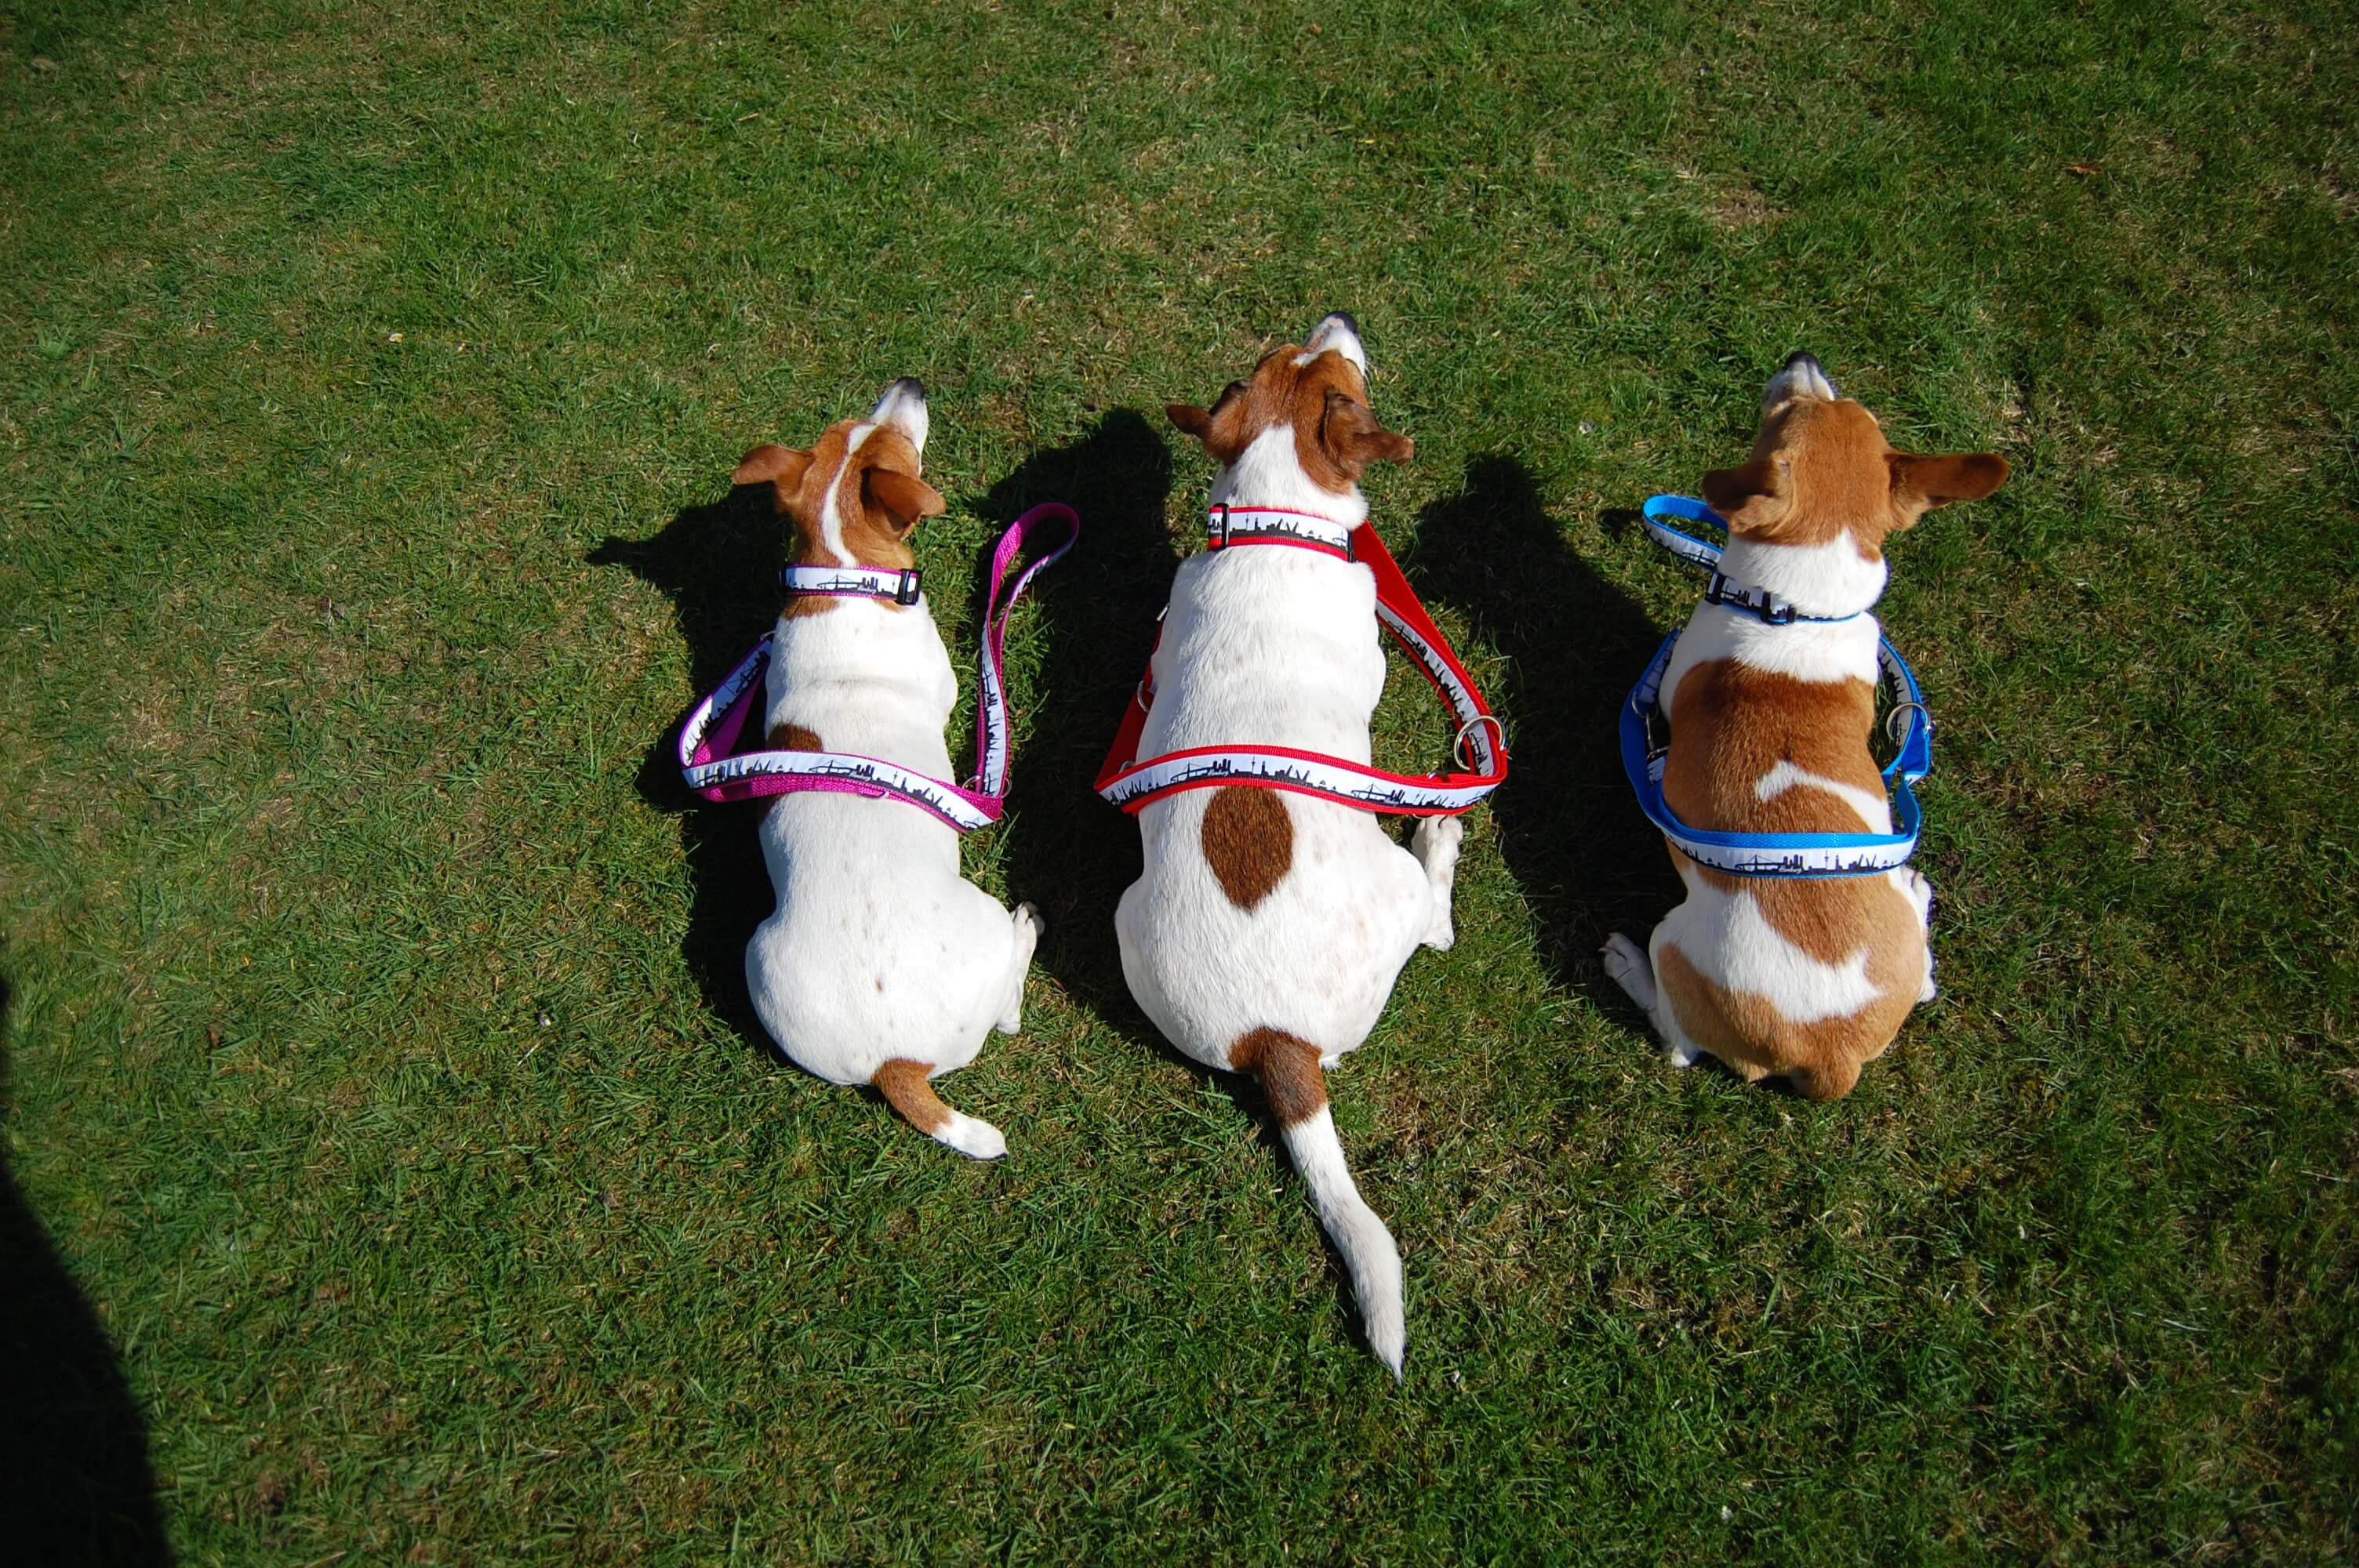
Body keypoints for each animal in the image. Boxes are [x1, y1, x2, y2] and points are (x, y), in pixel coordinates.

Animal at [1113, 316, 1462, 1367]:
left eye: (1280, 361)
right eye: (1342, 373)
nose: (1335, 321)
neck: (1274, 521)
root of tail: (1278, 1041)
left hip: (1125, 919)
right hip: (1395, 890)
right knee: (1434, 921)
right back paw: (1441, 838)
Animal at [1604, 351, 2009, 1098]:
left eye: (1785, 414)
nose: (1804, 359)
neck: (1797, 608)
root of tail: (1832, 1055)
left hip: (1673, 941)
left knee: (1676, 1042)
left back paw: (1626, 966)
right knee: (1926, 980)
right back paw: (1916, 892)